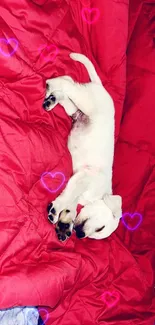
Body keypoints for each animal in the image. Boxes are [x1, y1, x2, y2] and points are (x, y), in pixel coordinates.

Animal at [43, 53, 121, 239]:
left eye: (97, 233)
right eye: (100, 228)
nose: (80, 235)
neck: (99, 194)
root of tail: (100, 87)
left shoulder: (78, 179)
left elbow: (71, 201)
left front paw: (65, 222)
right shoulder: (85, 176)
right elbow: (69, 196)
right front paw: (56, 210)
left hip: (75, 109)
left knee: (67, 91)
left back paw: (52, 98)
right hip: (87, 101)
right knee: (69, 83)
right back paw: (51, 83)